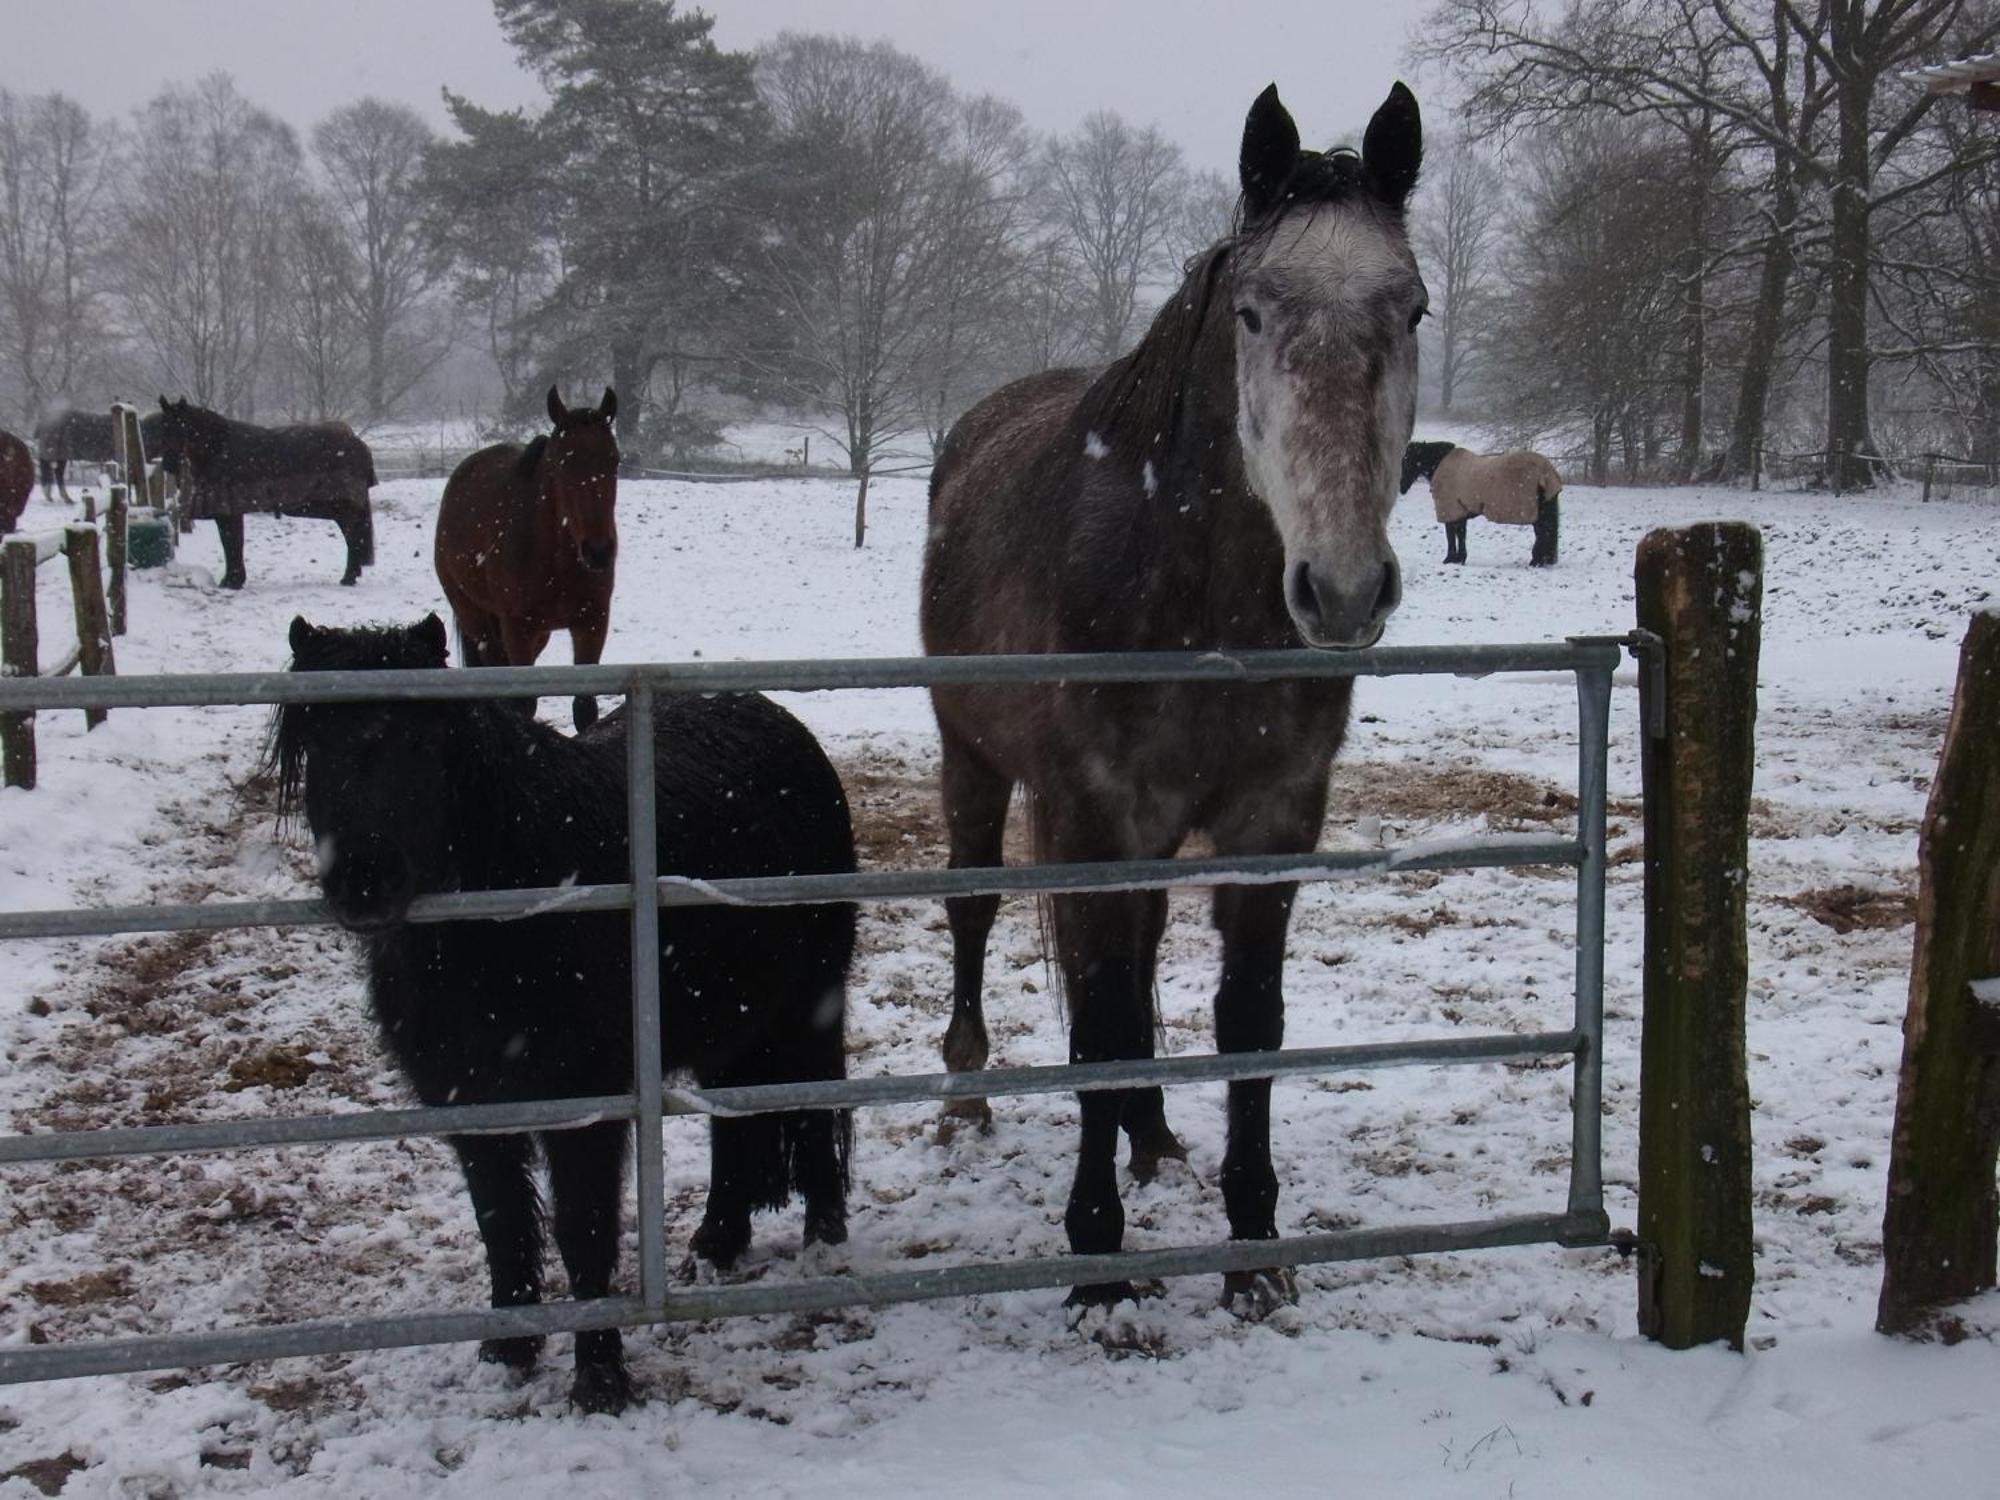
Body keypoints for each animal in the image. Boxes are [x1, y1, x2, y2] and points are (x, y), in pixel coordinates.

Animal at [150, 400, 376, 592]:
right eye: (164, 427)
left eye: (181, 427)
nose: (168, 463)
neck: (218, 449)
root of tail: (358, 443)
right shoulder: (228, 511)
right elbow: (230, 543)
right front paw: (232, 579)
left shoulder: (229, 510)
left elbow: (232, 543)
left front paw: (233, 581)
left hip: (343, 509)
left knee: (353, 537)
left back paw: (348, 578)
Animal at [272, 616, 852, 1416]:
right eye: (317, 743)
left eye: (423, 741)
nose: (364, 882)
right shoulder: (469, 1103)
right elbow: (501, 1220)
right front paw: (507, 1351)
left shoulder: (586, 1105)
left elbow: (582, 1229)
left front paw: (600, 1378)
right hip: (729, 1025)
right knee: (733, 1125)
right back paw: (716, 1243)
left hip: (808, 1008)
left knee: (817, 1105)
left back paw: (823, 1236)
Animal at [436, 388, 616, 736]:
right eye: (563, 462)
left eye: (615, 459)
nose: (599, 550)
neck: (556, 561)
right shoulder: (517, 629)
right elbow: (523, 703)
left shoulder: (592, 624)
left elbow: (584, 708)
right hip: (476, 619)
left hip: (538, 635)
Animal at [920, 79, 1424, 1312]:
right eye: (1251, 314)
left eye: (1413, 311)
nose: (1343, 589)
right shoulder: (1088, 816)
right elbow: (1099, 1019)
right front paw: (1099, 1265)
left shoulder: (1271, 819)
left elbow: (1244, 1021)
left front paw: (1253, 1252)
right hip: (972, 761)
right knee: (973, 911)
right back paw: (967, 1096)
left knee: (1143, 948)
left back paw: (1150, 1137)